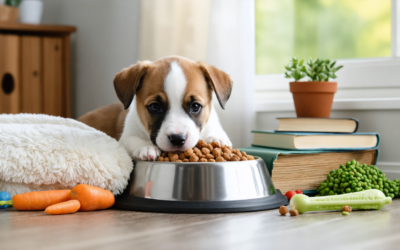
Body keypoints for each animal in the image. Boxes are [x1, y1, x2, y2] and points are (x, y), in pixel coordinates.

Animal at [77, 56, 231, 161]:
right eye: (155, 107)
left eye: (196, 106)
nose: (177, 139)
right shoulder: (125, 138)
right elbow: (133, 140)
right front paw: (146, 147)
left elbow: (217, 133)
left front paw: (217, 139)